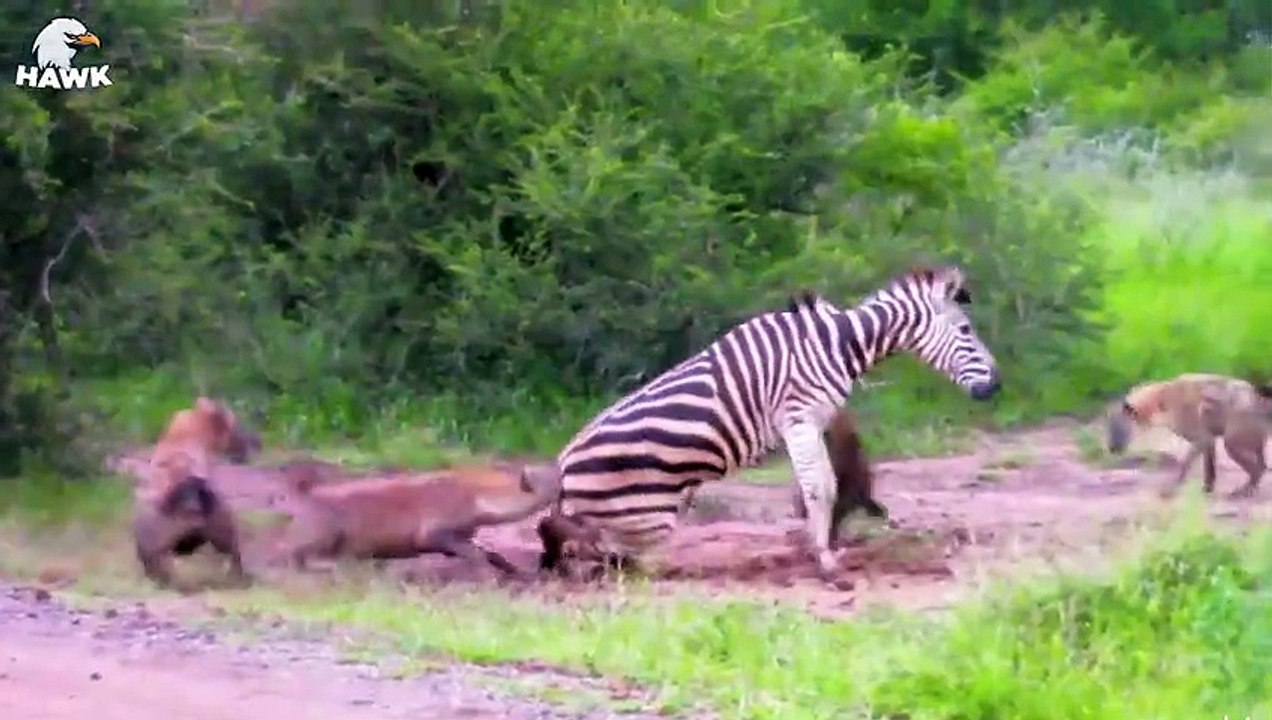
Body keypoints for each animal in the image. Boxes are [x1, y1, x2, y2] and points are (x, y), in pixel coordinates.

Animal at [538, 265, 1002, 580]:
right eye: (965, 330)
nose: (996, 385)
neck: (838, 343)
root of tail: (562, 466)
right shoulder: (798, 419)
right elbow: (820, 489)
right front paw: (825, 561)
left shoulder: (814, 422)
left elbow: (825, 486)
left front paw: (821, 549)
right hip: (648, 516)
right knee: (589, 540)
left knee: (574, 534)